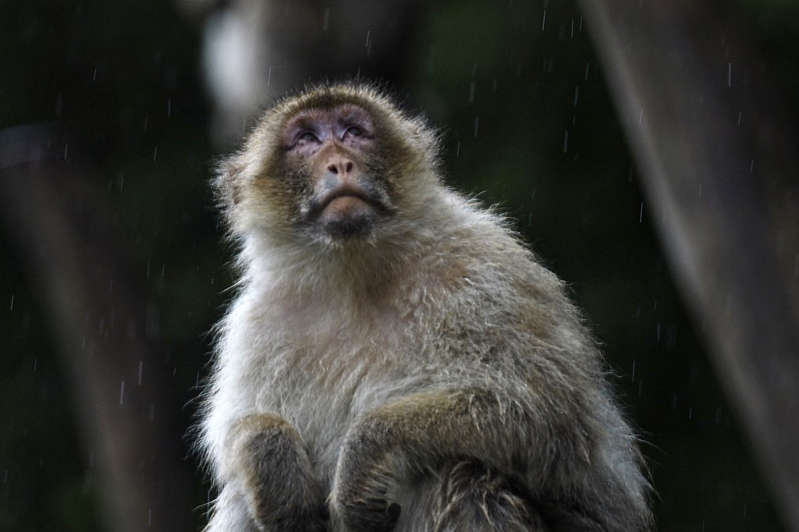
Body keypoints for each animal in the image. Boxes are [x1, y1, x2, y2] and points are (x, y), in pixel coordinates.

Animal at [199, 82, 652, 532]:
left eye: (353, 132)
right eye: (306, 139)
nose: (340, 162)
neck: (353, 274)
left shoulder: (487, 270)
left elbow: (545, 415)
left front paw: (368, 446)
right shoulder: (256, 322)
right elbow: (233, 437)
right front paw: (268, 451)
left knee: (465, 472)